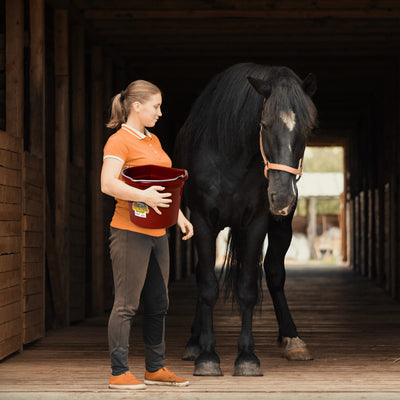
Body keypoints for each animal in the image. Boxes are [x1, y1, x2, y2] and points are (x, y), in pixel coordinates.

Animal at [173, 62, 318, 376]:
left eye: (308, 128)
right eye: (263, 125)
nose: (282, 197)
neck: (231, 158)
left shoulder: (256, 224)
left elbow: (248, 289)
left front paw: (247, 357)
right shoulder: (202, 222)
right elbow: (207, 286)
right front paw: (207, 356)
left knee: (275, 273)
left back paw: (292, 339)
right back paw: (194, 343)